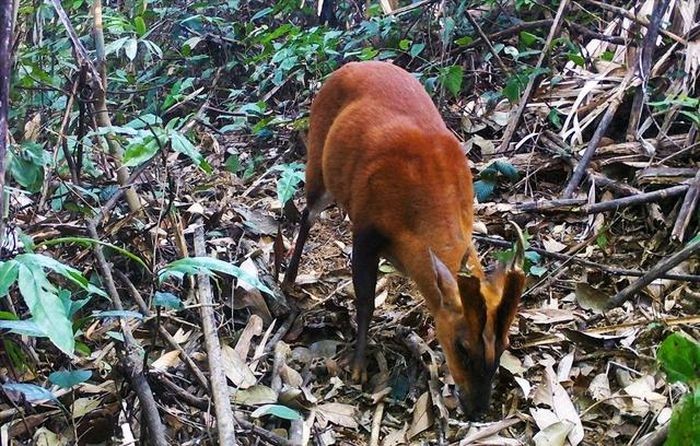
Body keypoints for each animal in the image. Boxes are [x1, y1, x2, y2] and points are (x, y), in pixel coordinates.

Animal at [282, 60, 524, 418]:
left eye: (505, 344)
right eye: (462, 346)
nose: (477, 409)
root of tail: (349, 65)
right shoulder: (365, 229)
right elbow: (366, 301)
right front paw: (358, 368)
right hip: (318, 161)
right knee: (306, 213)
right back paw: (288, 281)